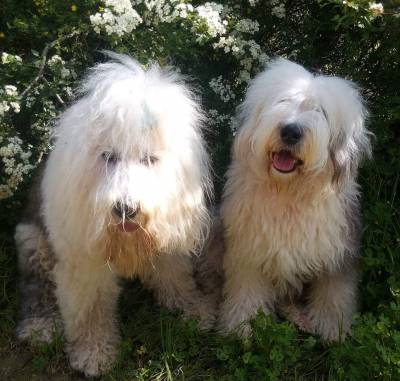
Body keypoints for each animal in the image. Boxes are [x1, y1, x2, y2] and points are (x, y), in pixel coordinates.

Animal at [14, 52, 216, 376]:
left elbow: (177, 278)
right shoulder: (82, 262)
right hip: (32, 241)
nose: (126, 209)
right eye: (108, 156)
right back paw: (39, 326)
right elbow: (91, 308)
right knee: (37, 288)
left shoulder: (168, 242)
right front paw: (94, 353)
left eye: (150, 159)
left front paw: (195, 309)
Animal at [214, 58, 374, 338]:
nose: (291, 131)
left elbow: (334, 294)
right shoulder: (248, 253)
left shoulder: (337, 255)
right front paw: (240, 327)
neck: (288, 192)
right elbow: (246, 291)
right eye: (283, 101)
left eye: (321, 112)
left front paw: (333, 329)